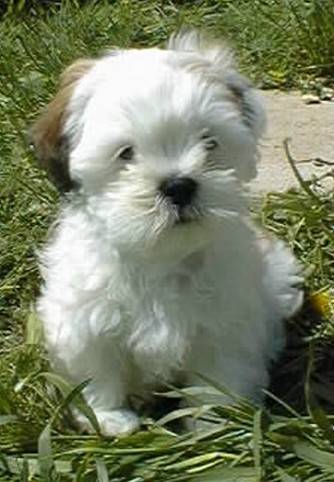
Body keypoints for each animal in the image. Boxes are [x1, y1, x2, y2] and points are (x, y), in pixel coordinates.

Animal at [32, 30, 302, 436]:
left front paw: (213, 425)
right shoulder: (84, 319)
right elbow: (97, 369)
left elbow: (217, 377)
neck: (160, 256)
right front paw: (109, 418)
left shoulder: (224, 325)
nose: (179, 185)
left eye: (209, 142)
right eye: (126, 153)